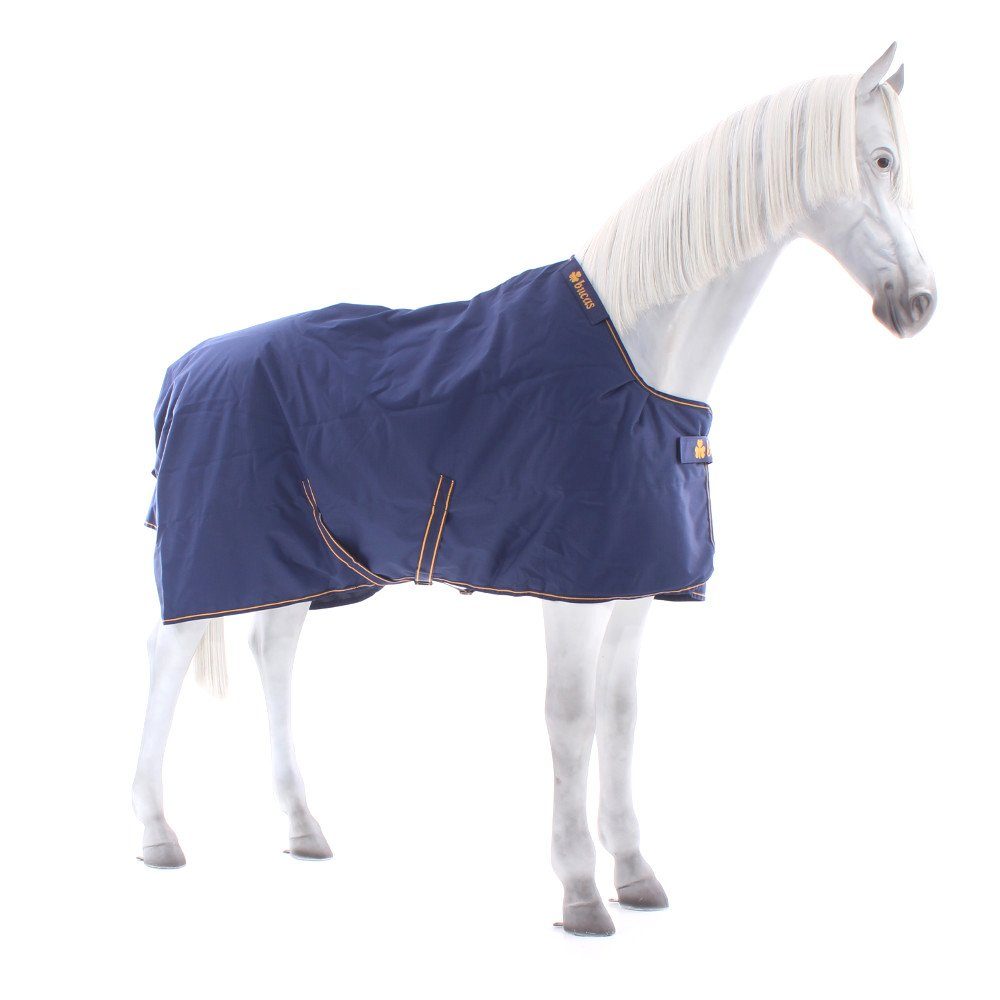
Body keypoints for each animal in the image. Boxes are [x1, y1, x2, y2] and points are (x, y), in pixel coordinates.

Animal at [133, 43, 936, 937]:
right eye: (882, 159)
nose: (920, 303)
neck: (637, 361)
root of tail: (185, 366)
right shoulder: (569, 590)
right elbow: (570, 718)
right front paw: (581, 890)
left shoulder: (638, 582)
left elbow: (620, 715)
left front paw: (635, 870)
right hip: (216, 551)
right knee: (167, 656)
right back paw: (157, 835)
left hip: (303, 559)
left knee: (273, 651)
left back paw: (303, 827)